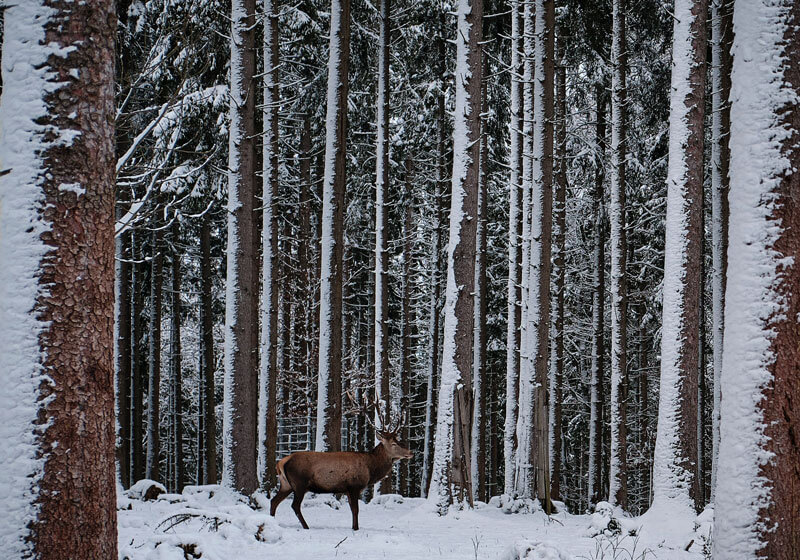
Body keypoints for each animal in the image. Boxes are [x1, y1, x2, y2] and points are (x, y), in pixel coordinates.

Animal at [272, 394, 416, 528]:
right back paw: (306, 526)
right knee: (294, 505)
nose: (411, 452)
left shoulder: (347, 489)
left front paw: (354, 527)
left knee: (274, 501)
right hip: (299, 483)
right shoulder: (354, 486)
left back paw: (272, 520)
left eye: (398, 440)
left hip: (286, 484)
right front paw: (356, 528)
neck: (370, 468)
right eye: (393, 444)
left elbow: (352, 510)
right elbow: (356, 510)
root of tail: (281, 462)